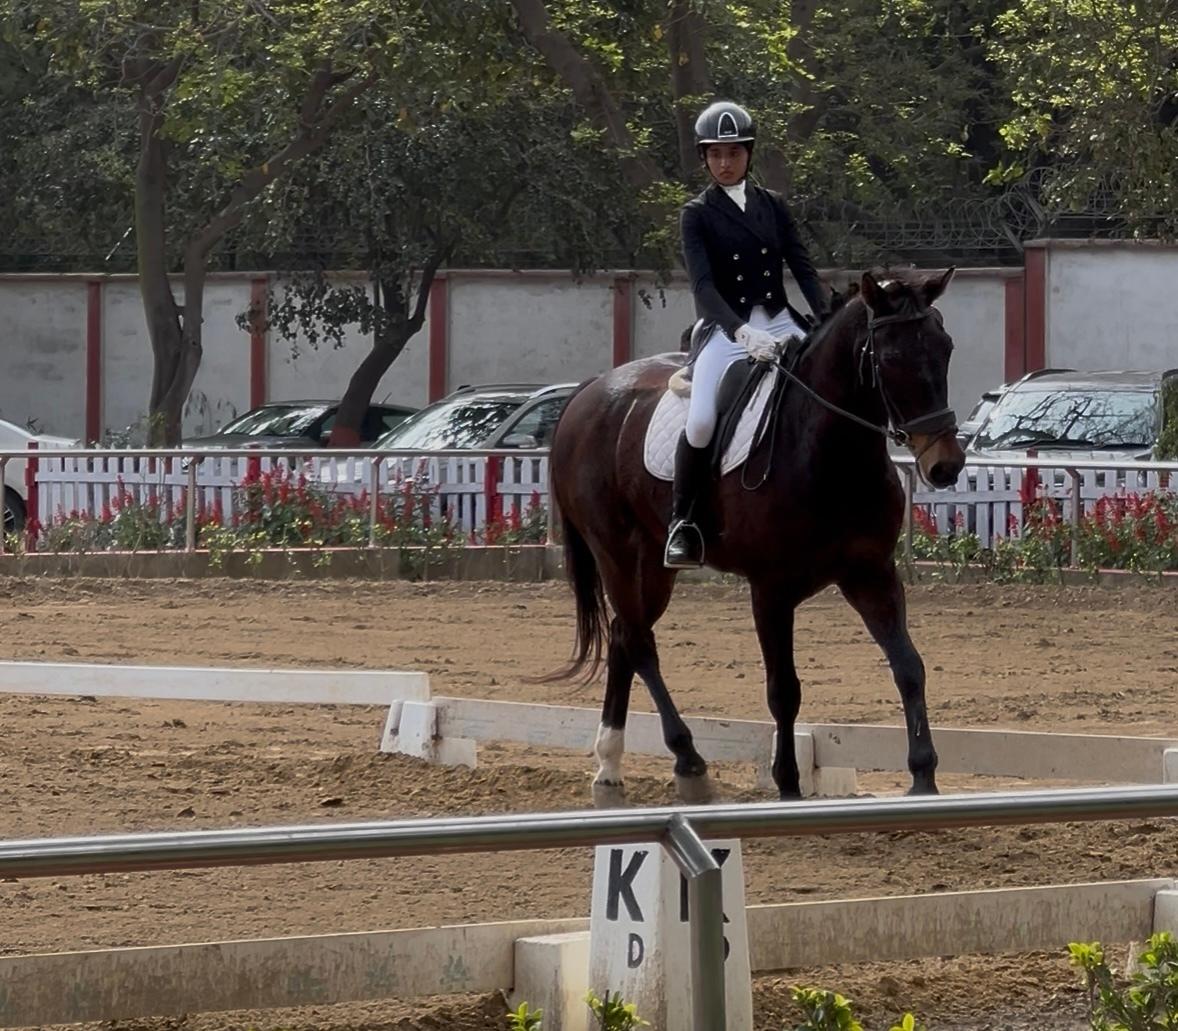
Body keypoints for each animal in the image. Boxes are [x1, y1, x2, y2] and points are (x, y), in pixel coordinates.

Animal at [544, 269, 966, 805]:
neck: (830, 452)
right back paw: (688, 760)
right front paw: (787, 783)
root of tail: (591, 389)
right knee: (638, 641)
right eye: (890, 358)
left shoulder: (871, 574)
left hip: (654, 563)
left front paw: (923, 777)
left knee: (624, 633)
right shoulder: (770, 589)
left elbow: (909, 666)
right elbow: (783, 689)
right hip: (614, 550)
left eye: (945, 348)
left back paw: (610, 763)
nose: (945, 465)